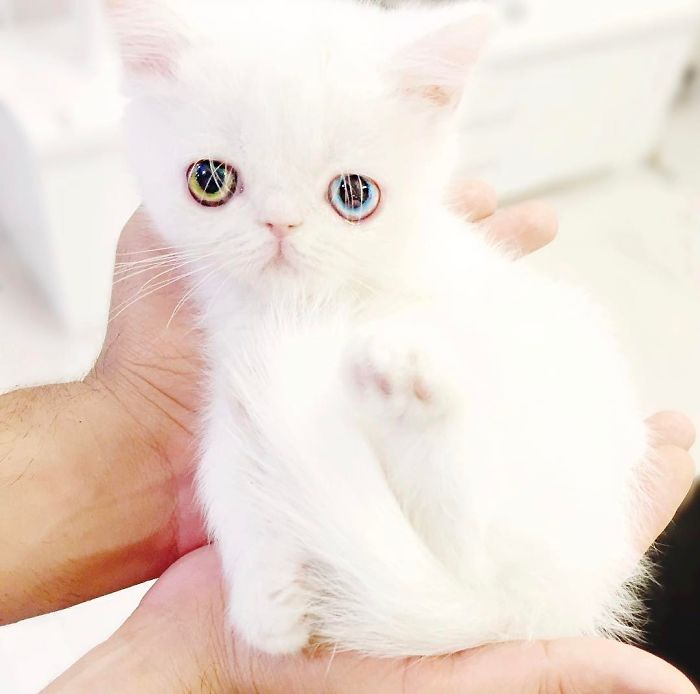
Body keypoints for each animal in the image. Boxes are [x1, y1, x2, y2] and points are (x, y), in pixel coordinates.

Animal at [109, 0, 652, 656]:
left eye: (354, 195)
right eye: (209, 180)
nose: (280, 225)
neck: (308, 308)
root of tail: (536, 610)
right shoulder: (230, 395)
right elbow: (228, 484)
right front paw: (265, 598)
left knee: (466, 542)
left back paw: (406, 388)